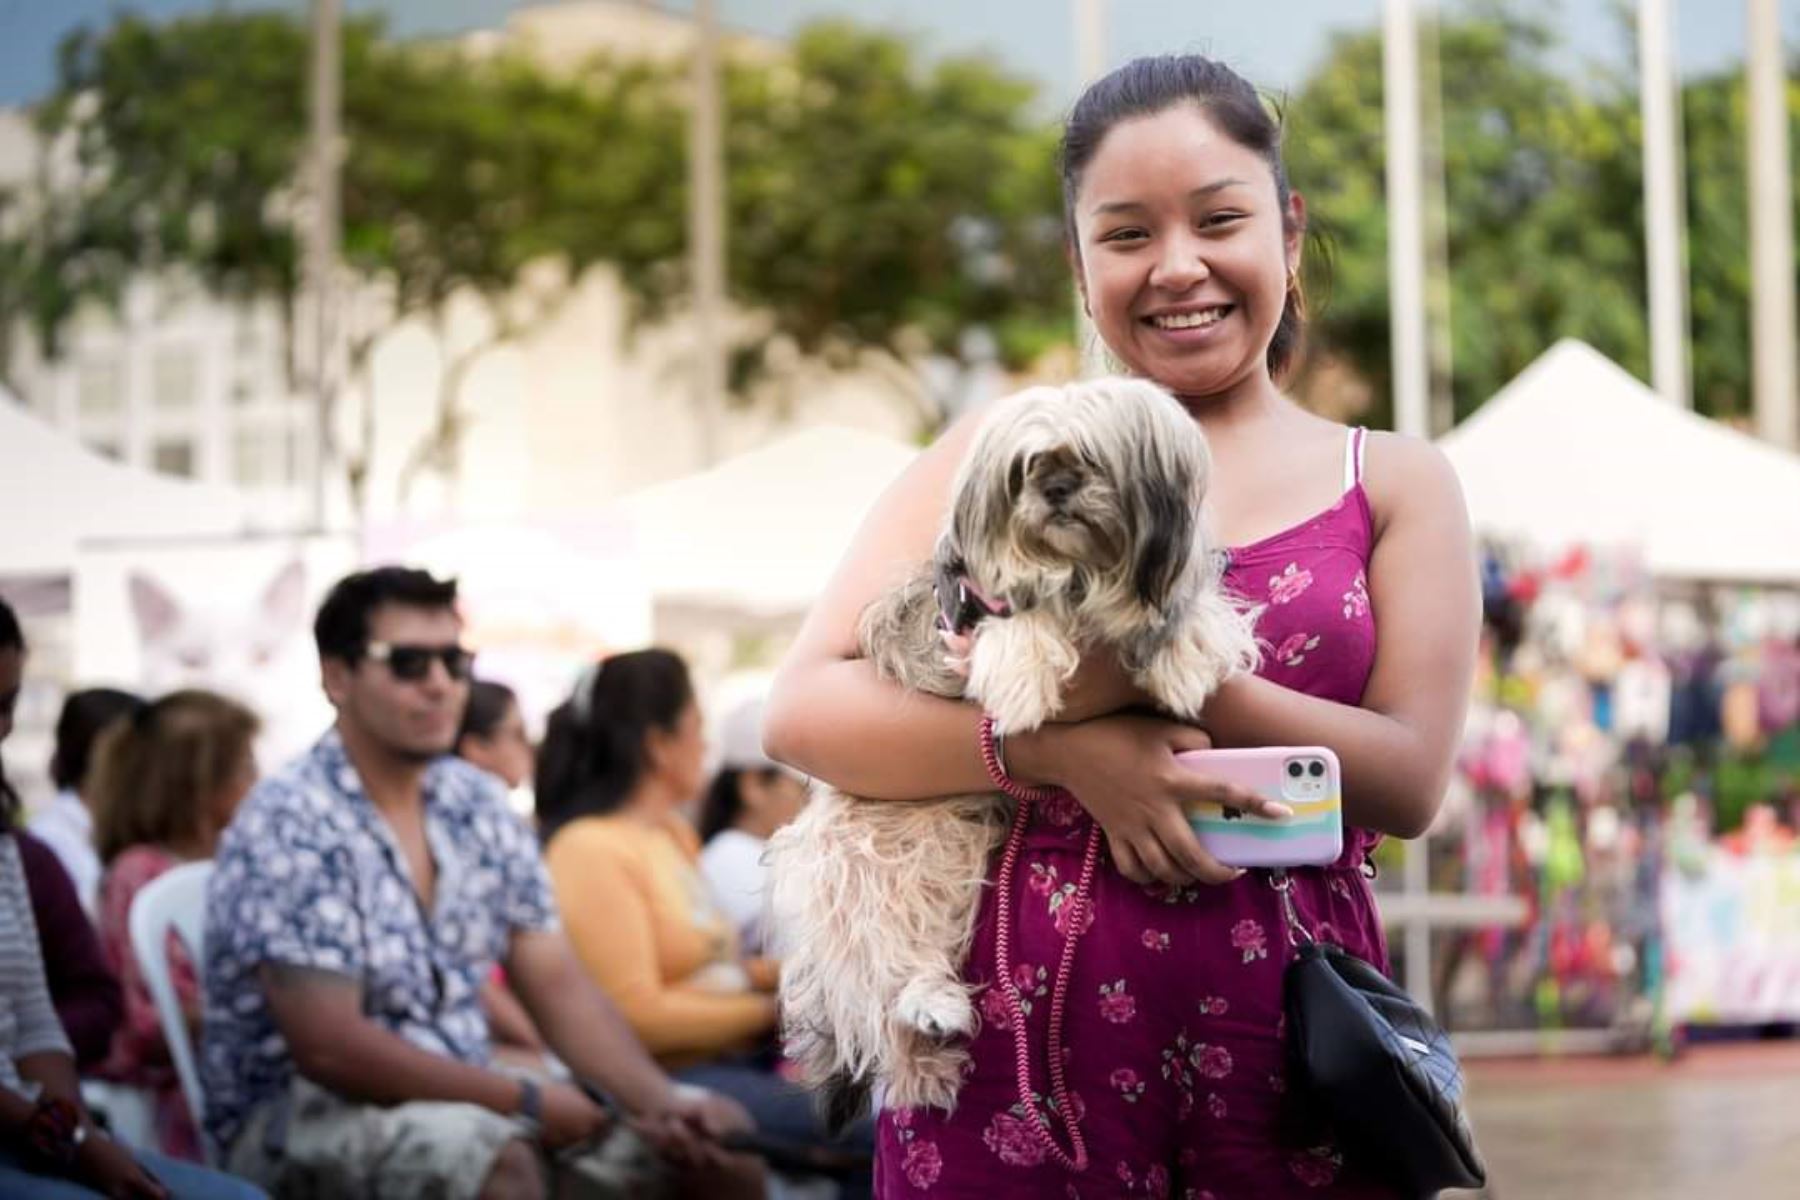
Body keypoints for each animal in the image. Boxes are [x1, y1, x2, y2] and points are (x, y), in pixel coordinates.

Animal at [766, 376, 1260, 1129]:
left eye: (1090, 458)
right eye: (1026, 468)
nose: (1055, 488)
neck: (1083, 572)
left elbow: (1192, 610)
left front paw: (1179, 658)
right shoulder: (975, 610)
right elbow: (1020, 620)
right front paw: (1027, 679)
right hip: (887, 844)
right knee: (885, 949)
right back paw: (926, 1009)